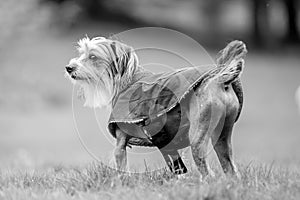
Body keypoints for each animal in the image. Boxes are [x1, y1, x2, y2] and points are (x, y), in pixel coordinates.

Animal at [65, 36, 246, 177]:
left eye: (93, 56)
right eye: (81, 54)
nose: (69, 68)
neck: (128, 80)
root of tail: (220, 78)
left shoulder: (120, 143)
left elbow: (121, 167)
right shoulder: (168, 146)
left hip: (198, 137)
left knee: (208, 173)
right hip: (222, 136)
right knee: (231, 170)